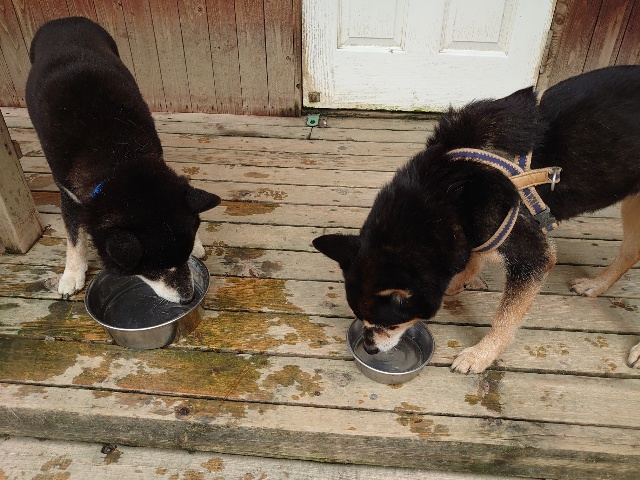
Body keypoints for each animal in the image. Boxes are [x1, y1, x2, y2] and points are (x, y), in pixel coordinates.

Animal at [26, 17, 221, 304]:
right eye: (153, 269)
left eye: (184, 257)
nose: (188, 298)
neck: (118, 157)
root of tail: (64, 20)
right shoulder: (68, 194)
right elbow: (74, 238)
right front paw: (72, 274)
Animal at [314, 65, 640, 373]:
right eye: (359, 317)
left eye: (390, 324)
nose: (369, 348)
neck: (453, 185)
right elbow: (474, 254)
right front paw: (460, 280)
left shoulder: (531, 256)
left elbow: (505, 318)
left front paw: (481, 355)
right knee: (630, 252)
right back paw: (596, 285)